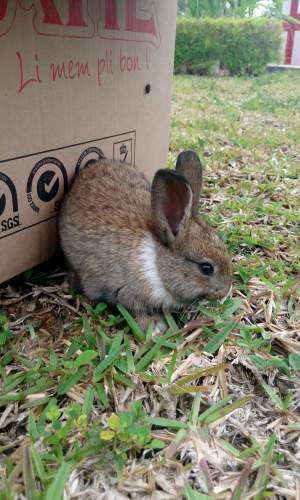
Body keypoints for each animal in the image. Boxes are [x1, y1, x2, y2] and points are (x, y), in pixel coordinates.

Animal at [58, 150, 232, 330]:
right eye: (206, 268)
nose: (225, 291)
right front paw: (155, 328)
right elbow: (137, 311)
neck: (157, 264)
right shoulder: (126, 294)